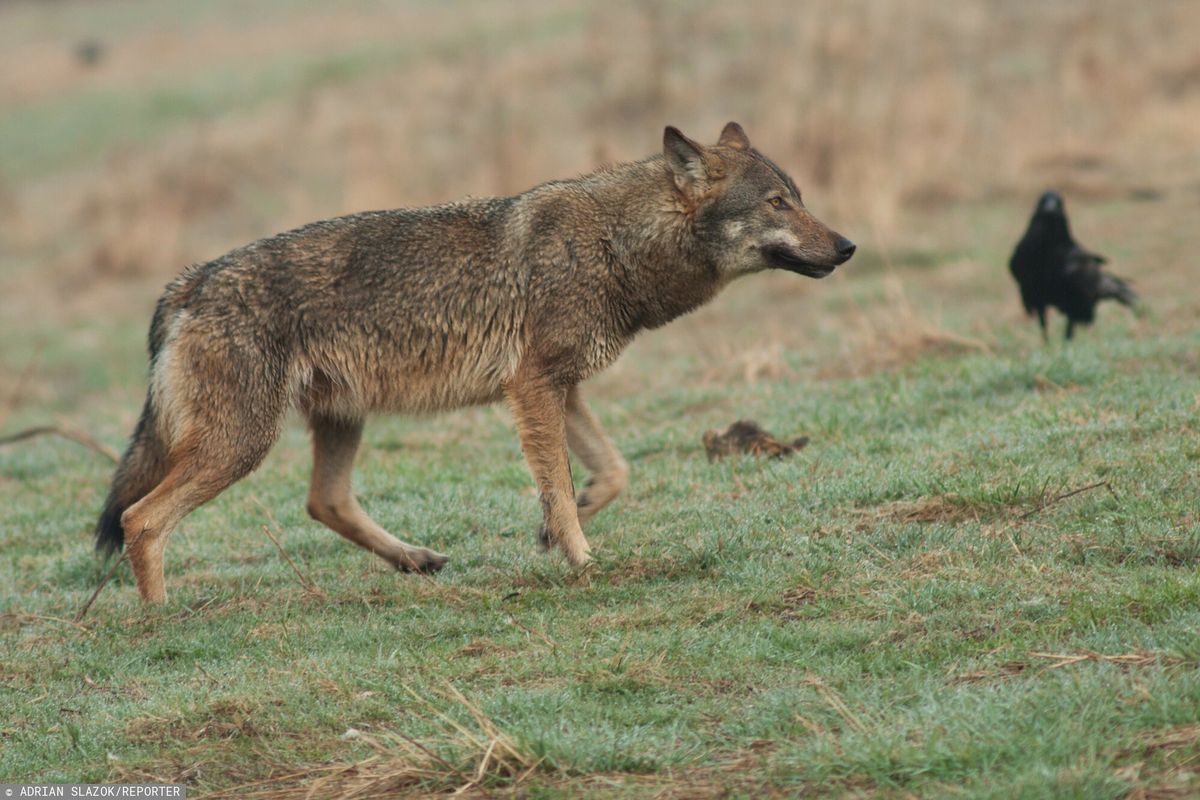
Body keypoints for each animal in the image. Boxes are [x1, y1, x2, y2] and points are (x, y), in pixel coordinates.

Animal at [98, 122, 859, 599]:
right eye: (778, 202)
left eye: (800, 198)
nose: (849, 246)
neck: (614, 242)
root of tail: (185, 284)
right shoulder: (534, 387)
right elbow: (561, 482)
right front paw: (583, 560)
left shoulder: (561, 388)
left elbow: (611, 472)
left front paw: (560, 529)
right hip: (243, 444)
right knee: (140, 520)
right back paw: (161, 621)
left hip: (338, 420)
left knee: (324, 501)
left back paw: (416, 559)